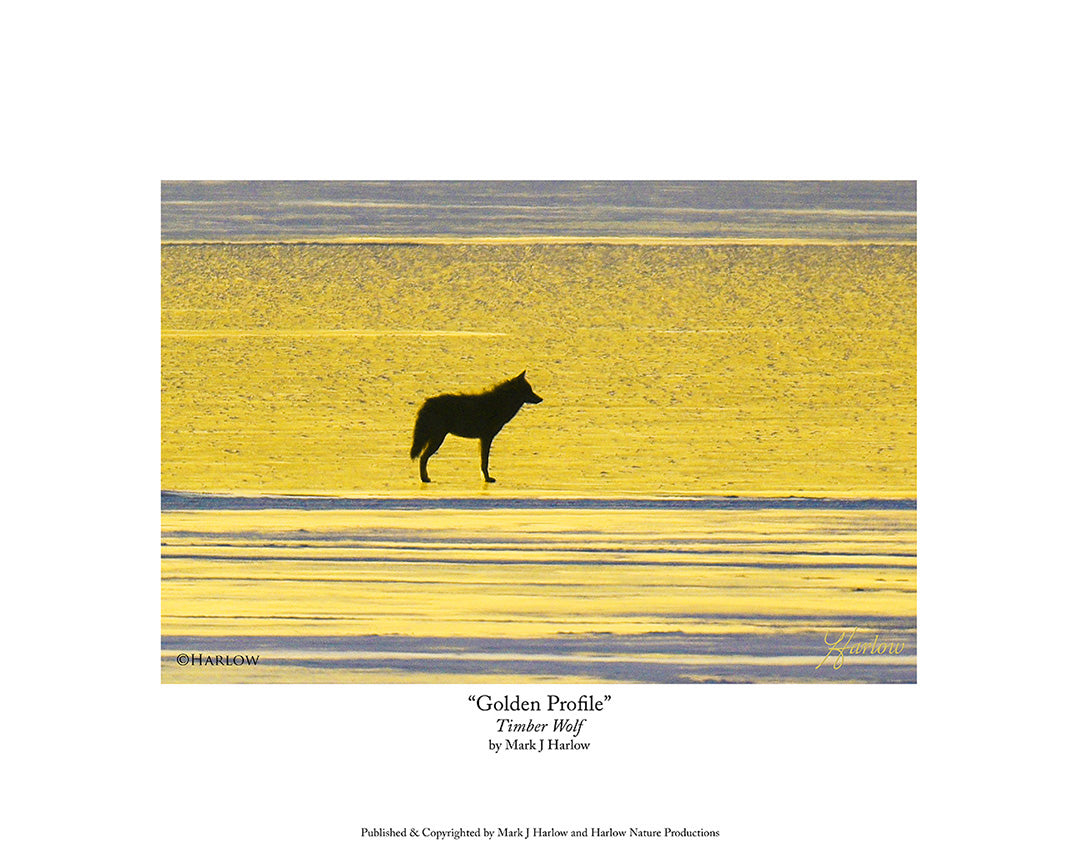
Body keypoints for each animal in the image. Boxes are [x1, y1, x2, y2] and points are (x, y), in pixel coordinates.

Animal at [410, 371, 543, 483]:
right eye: (529, 390)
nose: (541, 399)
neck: (499, 404)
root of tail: (426, 403)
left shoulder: (484, 439)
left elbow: (483, 461)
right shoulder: (486, 438)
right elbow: (485, 462)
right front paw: (487, 479)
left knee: (422, 458)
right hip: (437, 440)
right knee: (423, 457)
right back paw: (424, 479)